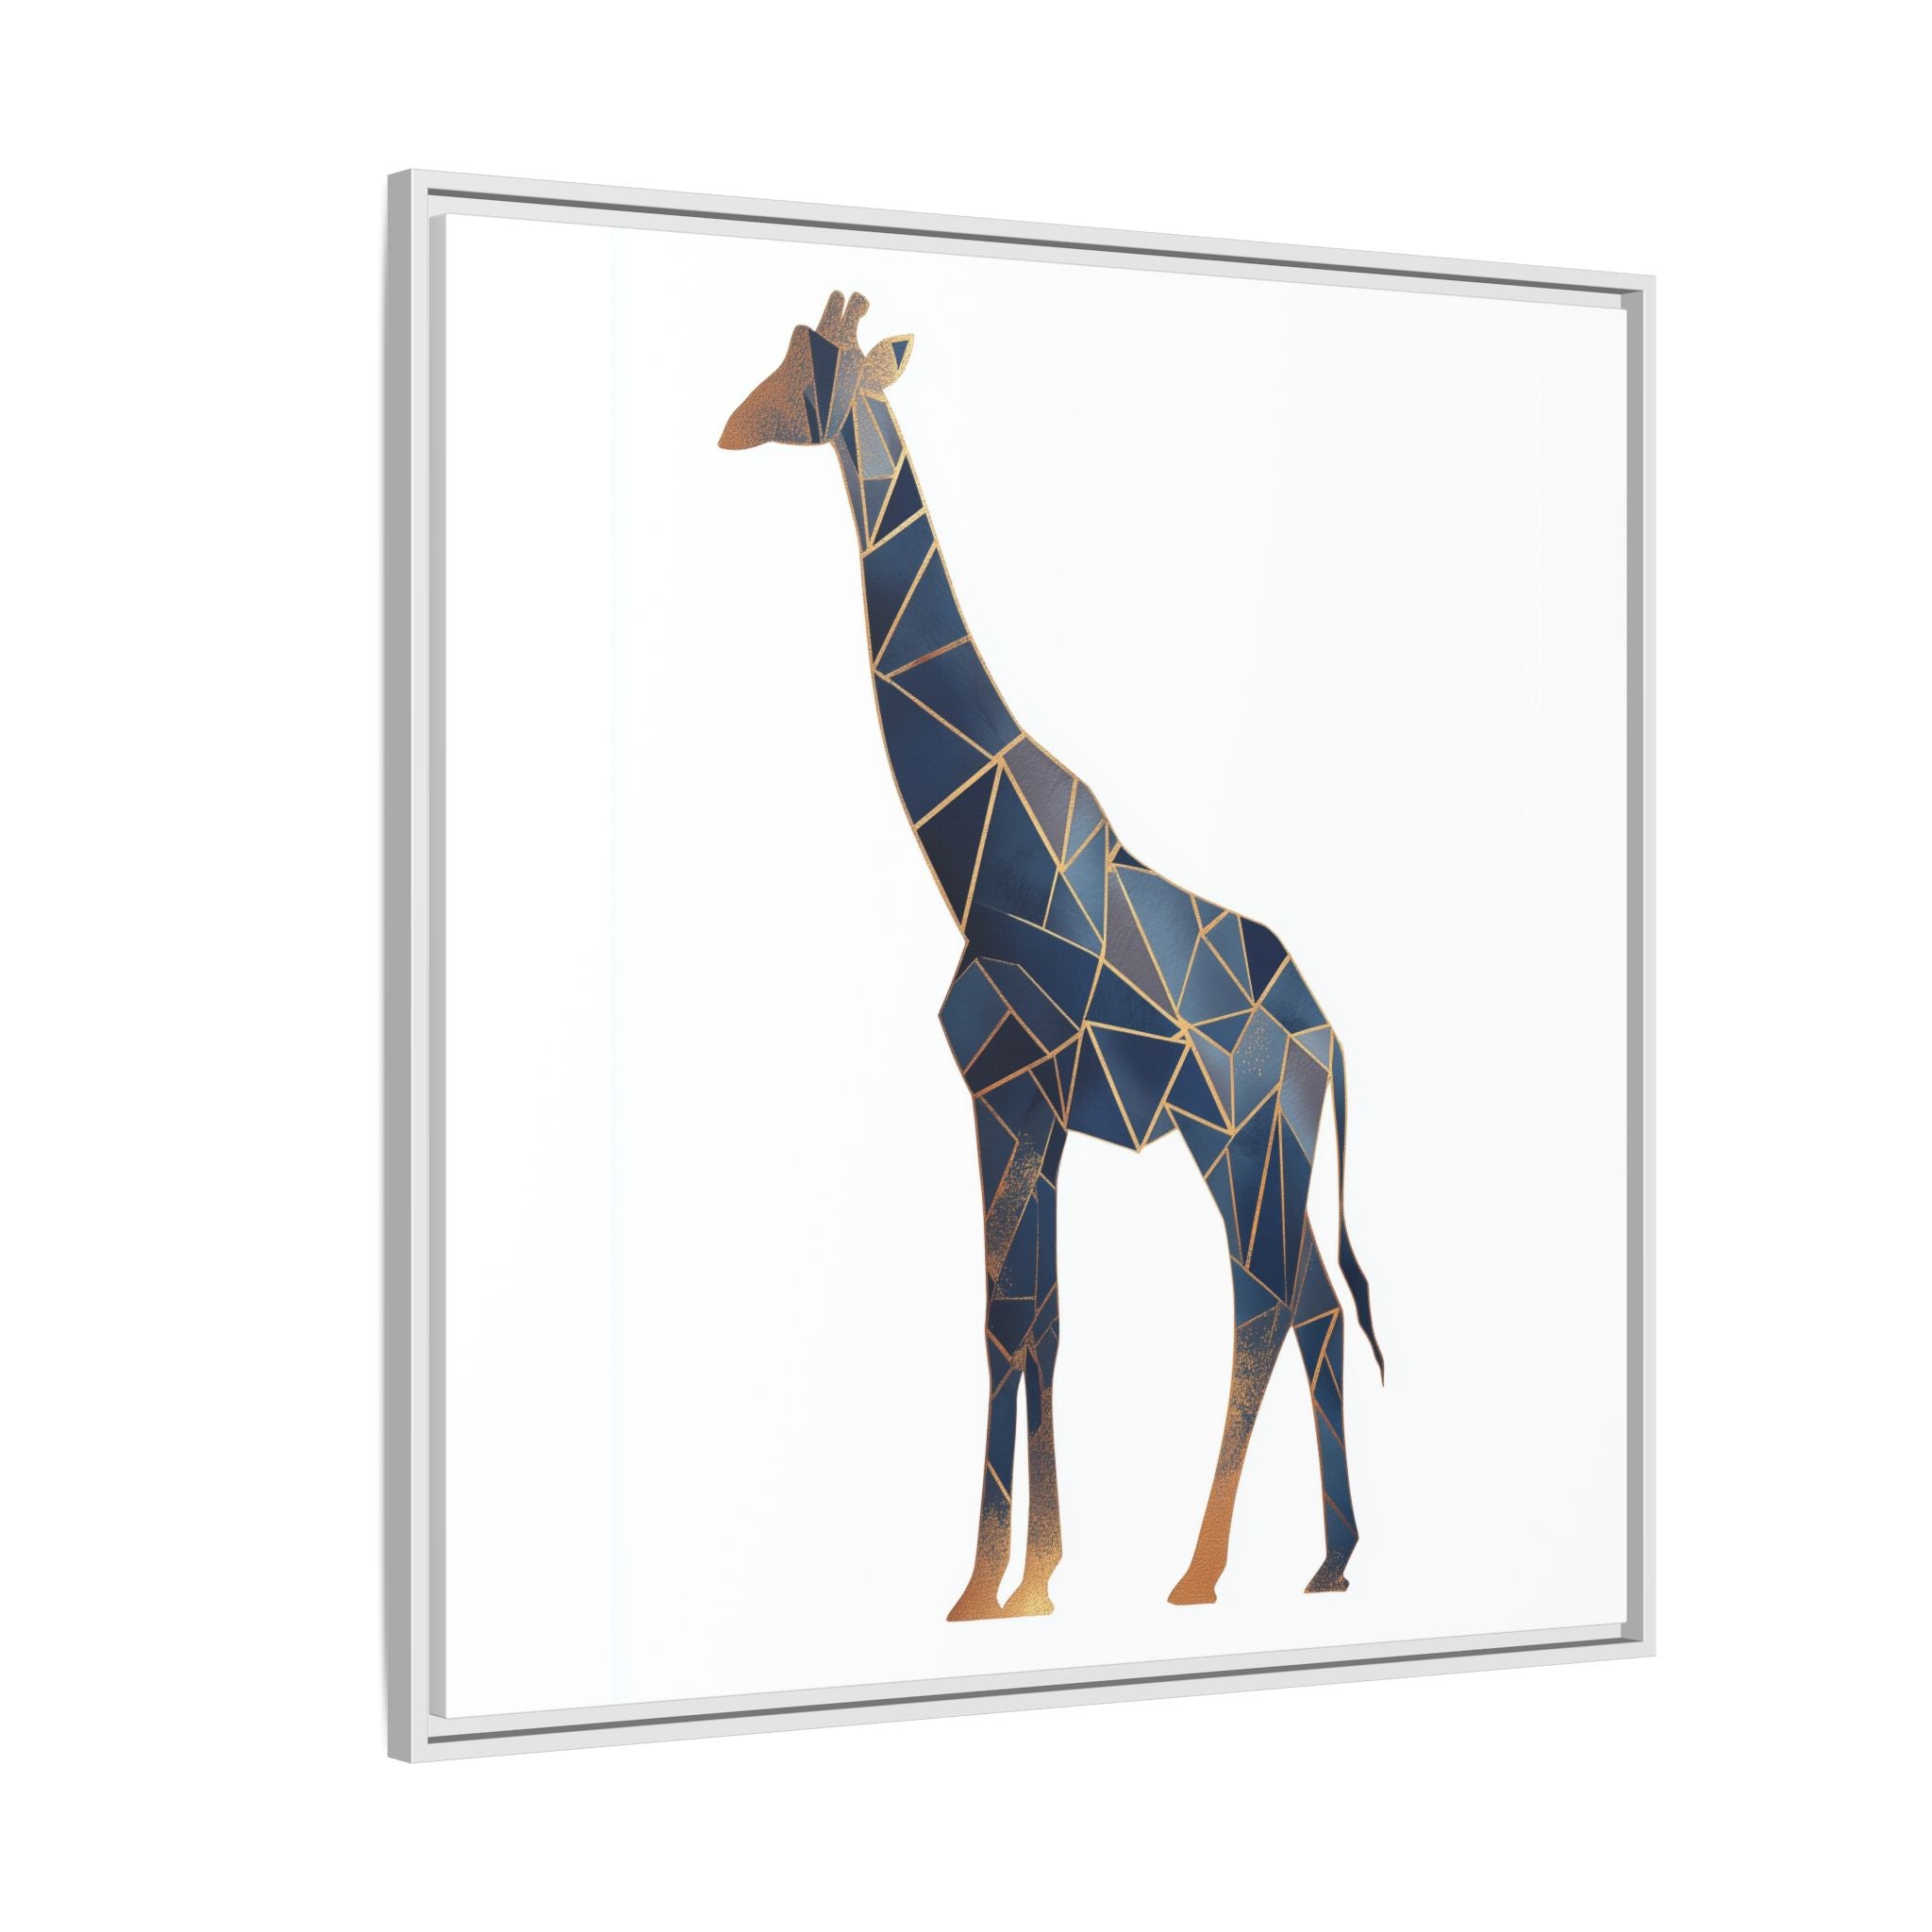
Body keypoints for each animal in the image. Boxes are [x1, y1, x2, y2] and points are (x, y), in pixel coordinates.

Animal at [720, 290, 1384, 1620]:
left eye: (808, 370)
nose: (729, 424)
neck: (977, 860)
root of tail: (1327, 1036)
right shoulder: (1032, 1109)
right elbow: (1042, 1319)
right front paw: (1033, 1576)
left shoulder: (1005, 1092)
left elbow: (1004, 1319)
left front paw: (986, 1585)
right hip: (1272, 1147)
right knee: (1317, 1306)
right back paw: (1328, 1559)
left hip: (1232, 1138)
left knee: (1263, 1302)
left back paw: (1202, 1568)